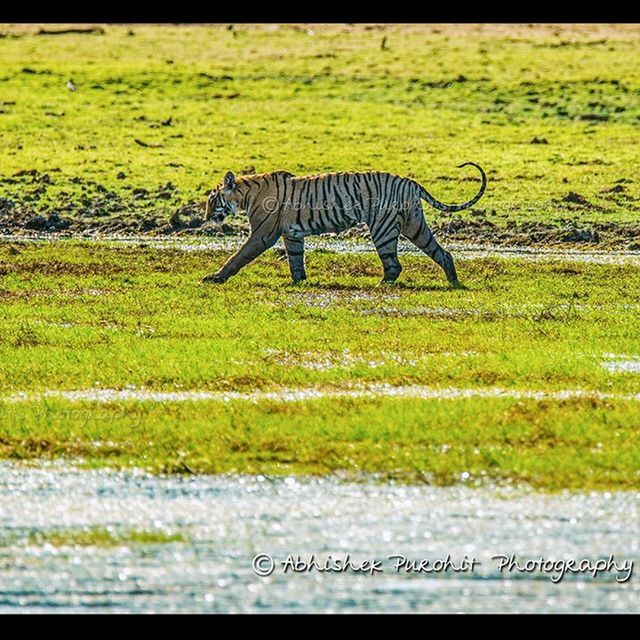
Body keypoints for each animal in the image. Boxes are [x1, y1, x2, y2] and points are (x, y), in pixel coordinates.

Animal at [202, 164, 488, 286]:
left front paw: (215, 277)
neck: (245, 194)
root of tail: (410, 181)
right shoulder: (292, 234)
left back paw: (380, 286)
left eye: (212, 199)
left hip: (383, 228)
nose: (205, 217)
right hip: (414, 225)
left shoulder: (262, 234)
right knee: (442, 252)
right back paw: (453, 282)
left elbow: (238, 256)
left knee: (394, 265)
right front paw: (298, 283)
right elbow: (296, 260)